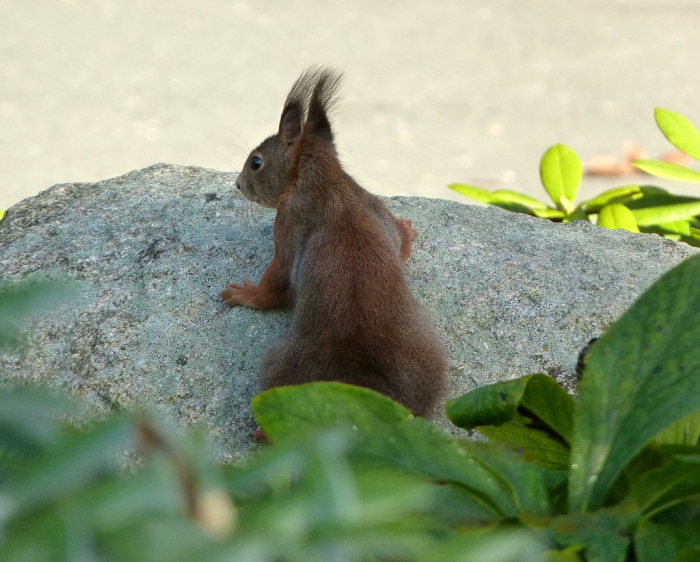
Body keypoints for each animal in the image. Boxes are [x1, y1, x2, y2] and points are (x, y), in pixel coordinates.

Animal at [220, 67, 447, 418]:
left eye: (255, 162)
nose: (238, 184)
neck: (324, 176)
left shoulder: (287, 222)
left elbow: (277, 279)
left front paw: (247, 294)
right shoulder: (375, 206)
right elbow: (401, 245)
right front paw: (407, 231)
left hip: (282, 368)